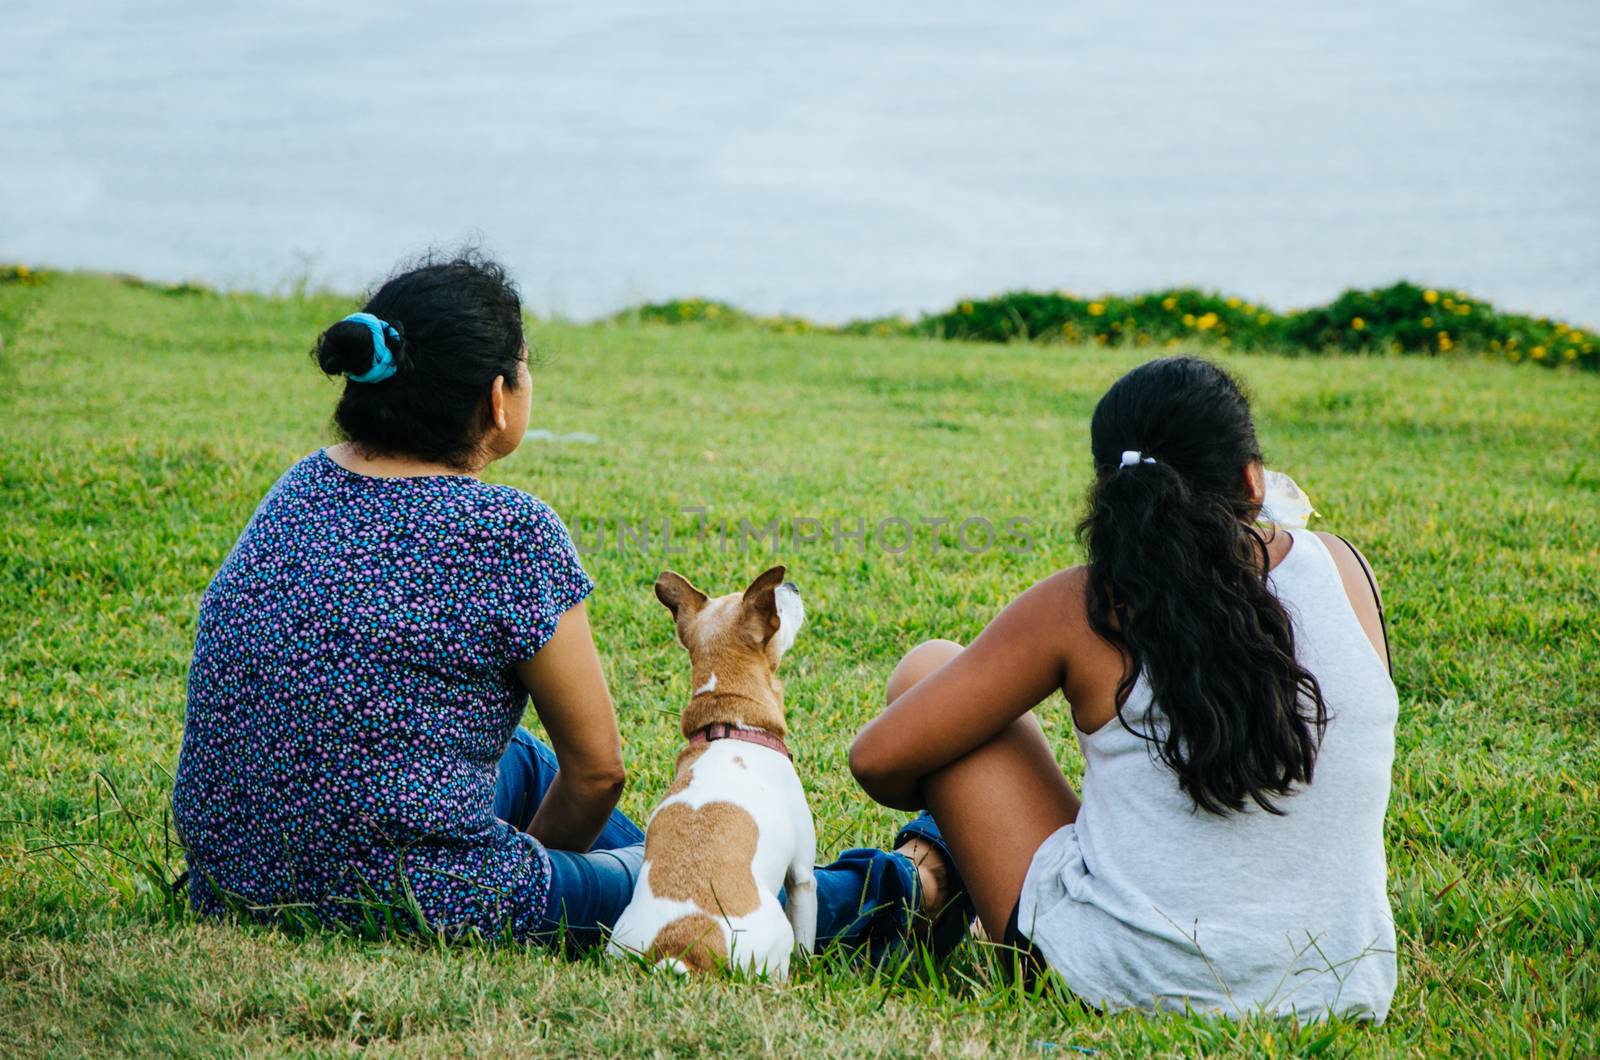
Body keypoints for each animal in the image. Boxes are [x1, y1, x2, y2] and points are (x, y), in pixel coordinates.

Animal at [604, 563, 819, 979]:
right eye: (779, 607)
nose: (792, 585)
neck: (730, 722)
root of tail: (680, 948)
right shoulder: (802, 876)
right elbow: (807, 937)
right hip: (776, 937)